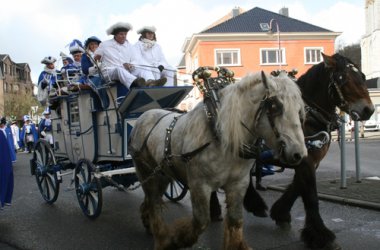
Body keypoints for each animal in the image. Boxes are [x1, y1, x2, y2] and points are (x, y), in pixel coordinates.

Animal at [238, 52, 374, 248]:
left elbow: (298, 187)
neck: (308, 118)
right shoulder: (305, 161)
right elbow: (310, 195)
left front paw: (281, 213)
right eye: (343, 79)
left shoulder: (310, 161)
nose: (369, 110)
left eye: (362, 77)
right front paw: (322, 236)